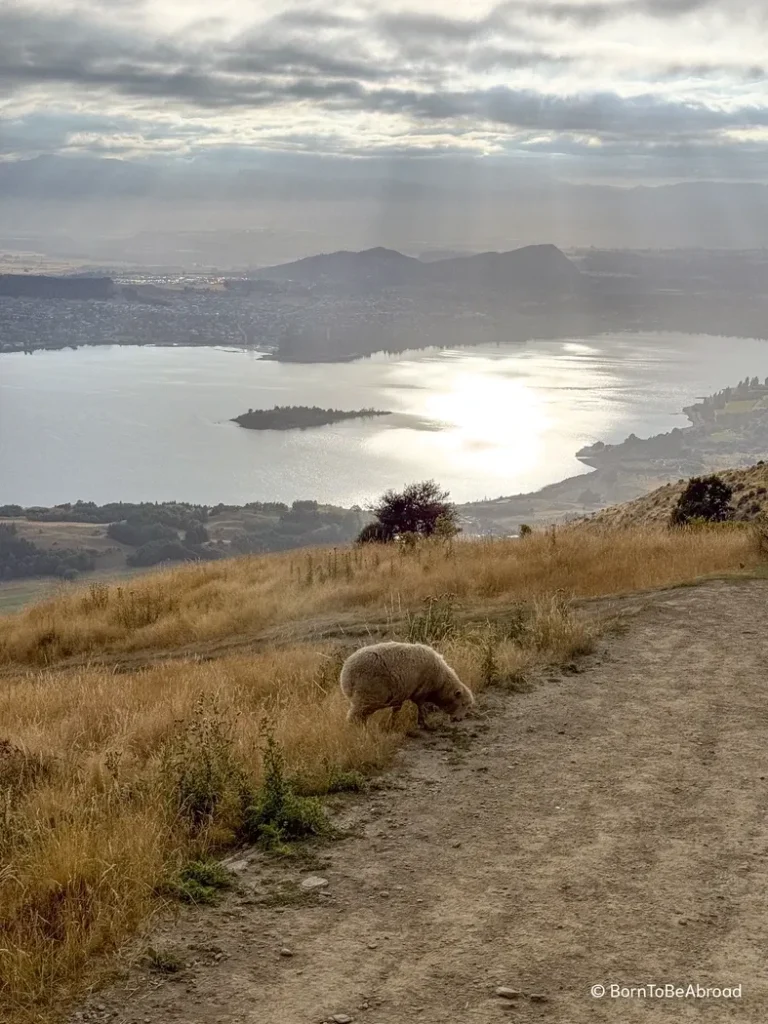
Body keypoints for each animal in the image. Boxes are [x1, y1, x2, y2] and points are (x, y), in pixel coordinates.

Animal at [342, 643, 475, 724]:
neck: (441, 682)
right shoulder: (421, 691)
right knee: (354, 717)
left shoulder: (400, 693)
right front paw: (423, 723)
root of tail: (346, 673)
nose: (459, 719)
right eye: (463, 704)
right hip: (367, 695)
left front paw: (392, 723)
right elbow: (420, 706)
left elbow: (396, 709)